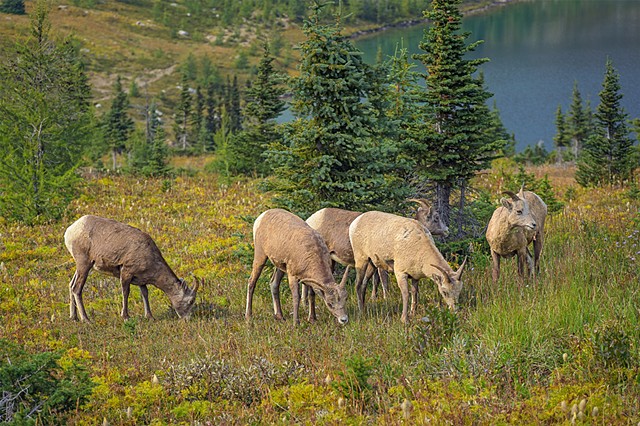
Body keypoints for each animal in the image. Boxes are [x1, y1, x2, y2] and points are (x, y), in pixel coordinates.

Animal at [64, 215, 199, 322]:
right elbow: (125, 292)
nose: (187, 320)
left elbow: (145, 294)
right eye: (190, 301)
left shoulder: (141, 280)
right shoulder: (126, 273)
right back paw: (86, 319)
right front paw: (125, 317)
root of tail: (69, 231)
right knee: (77, 288)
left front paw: (150, 317)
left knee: (71, 285)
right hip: (84, 265)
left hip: (81, 267)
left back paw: (74, 318)